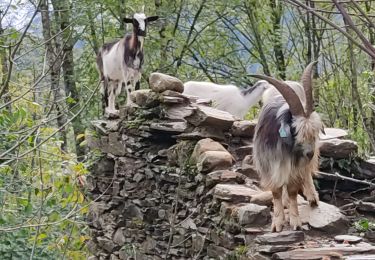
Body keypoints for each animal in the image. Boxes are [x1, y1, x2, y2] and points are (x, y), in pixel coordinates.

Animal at [251, 62, 322, 233]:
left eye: (314, 132)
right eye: (295, 130)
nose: (310, 153)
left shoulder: (296, 166)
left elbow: (292, 191)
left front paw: (295, 220)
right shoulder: (269, 166)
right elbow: (276, 191)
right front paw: (277, 222)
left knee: (306, 174)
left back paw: (312, 196)